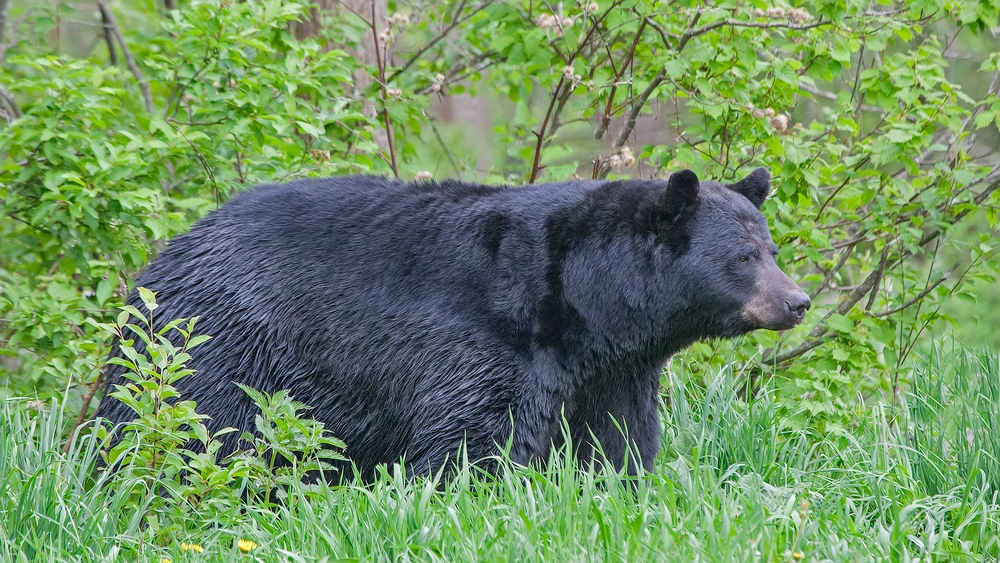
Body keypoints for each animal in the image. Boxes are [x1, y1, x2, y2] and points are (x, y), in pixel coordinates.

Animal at [97, 170, 808, 478]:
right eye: (743, 257)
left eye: (773, 249)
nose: (798, 301)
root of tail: (162, 261)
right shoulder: (484, 342)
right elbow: (473, 436)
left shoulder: (611, 369)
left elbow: (616, 437)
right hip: (226, 338)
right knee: (200, 423)